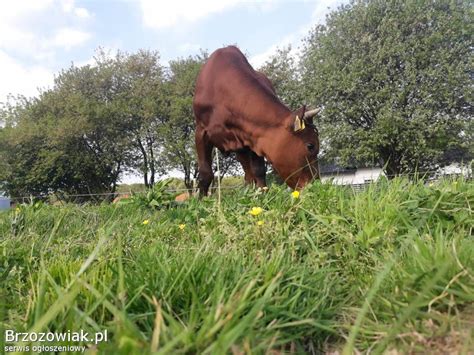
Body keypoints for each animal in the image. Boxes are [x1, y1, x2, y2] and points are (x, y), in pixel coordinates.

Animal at [192, 45, 318, 196]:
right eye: (310, 146)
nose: (315, 184)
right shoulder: (201, 131)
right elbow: (205, 173)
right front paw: (201, 200)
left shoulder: (254, 136)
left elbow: (259, 171)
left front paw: (263, 195)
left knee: (249, 174)